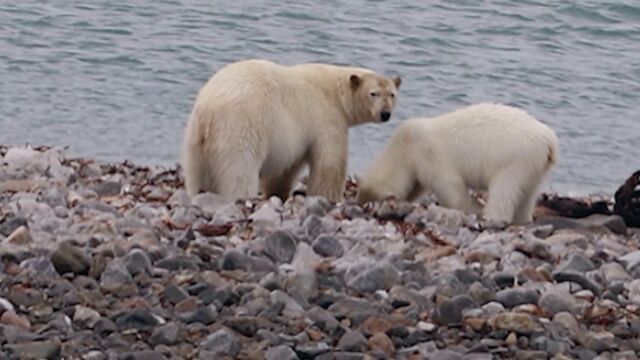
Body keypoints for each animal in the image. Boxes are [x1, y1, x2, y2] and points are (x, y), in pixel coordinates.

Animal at [180, 60, 400, 204]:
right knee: (239, 169)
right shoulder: (326, 117)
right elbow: (330, 163)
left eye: (392, 94)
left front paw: (278, 193)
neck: (335, 90)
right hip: (240, 126)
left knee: (195, 172)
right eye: (373, 94)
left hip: (195, 138)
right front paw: (330, 198)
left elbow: (285, 169)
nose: (385, 113)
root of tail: (209, 109)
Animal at [358, 102, 556, 224]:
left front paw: (472, 208)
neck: (405, 146)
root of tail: (549, 140)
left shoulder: (429, 155)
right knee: (528, 194)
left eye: (369, 201)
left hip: (515, 160)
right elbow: (418, 186)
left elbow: (452, 188)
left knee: (504, 190)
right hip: (535, 165)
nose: (358, 204)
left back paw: (491, 216)